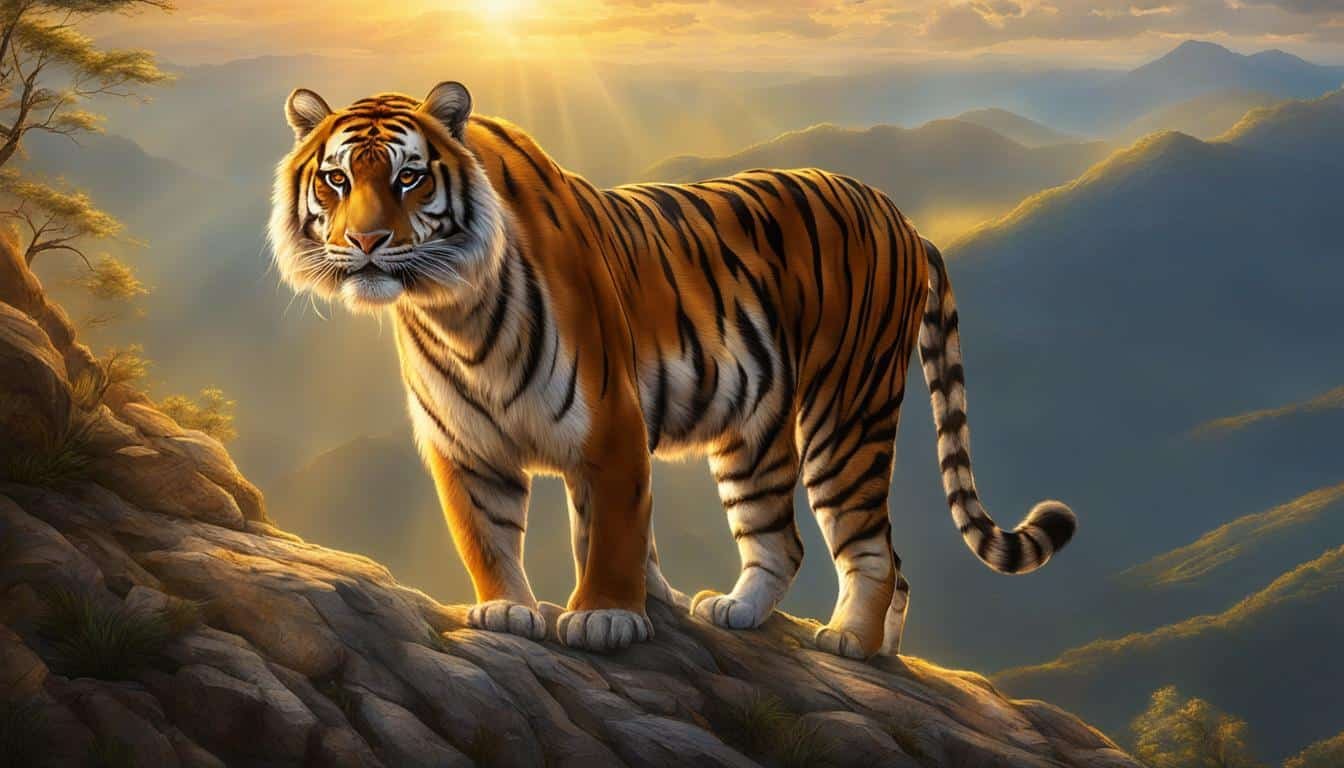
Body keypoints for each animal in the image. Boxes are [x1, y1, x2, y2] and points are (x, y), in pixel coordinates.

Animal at [269, 81, 1077, 658]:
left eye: (409, 178)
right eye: (337, 180)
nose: (366, 242)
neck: (450, 308)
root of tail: (905, 219)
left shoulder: (611, 421)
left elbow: (612, 531)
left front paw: (604, 618)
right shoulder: (466, 444)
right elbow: (487, 533)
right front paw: (507, 608)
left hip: (847, 413)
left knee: (869, 545)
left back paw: (850, 639)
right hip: (754, 432)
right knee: (782, 540)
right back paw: (805, 631)